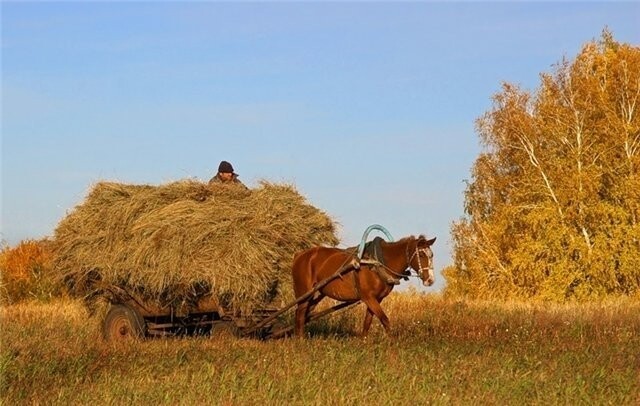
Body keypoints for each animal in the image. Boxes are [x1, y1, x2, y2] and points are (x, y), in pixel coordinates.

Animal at [292, 235, 436, 336]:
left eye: (431, 255)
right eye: (421, 254)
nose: (430, 280)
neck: (377, 263)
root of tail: (300, 255)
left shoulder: (377, 299)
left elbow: (367, 322)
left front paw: (364, 343)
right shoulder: (368, 297)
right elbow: (385, 320)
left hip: (317, 294)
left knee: (304, 314)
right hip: (304, 292)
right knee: (300, 315)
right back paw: (300, 340)